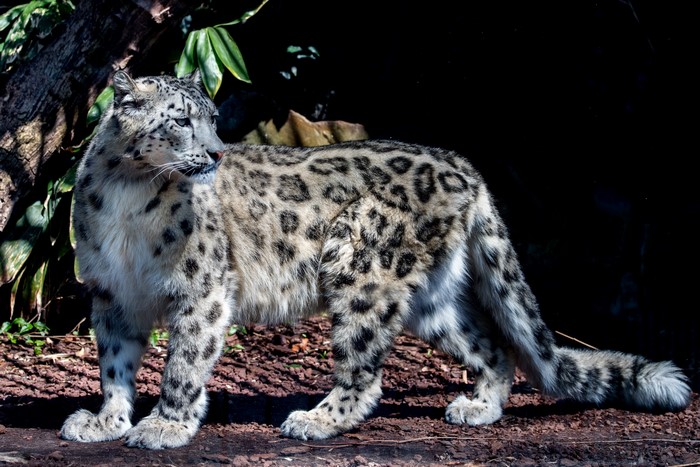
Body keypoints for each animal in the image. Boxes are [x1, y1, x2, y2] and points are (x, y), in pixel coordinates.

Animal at [60, 70, 691, 449]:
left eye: (212, 117)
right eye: (179, 118)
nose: (215, 152)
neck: (127, 193)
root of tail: (465, 166)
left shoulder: (202, 289)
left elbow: (184, 364)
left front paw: (164, 425)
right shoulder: (111, 294)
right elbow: (114, 363)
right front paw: (106, 420)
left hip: (361, 264)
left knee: (365, 371)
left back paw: (315, 420)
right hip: (430, 299)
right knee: (490, 344)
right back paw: (478, 407)